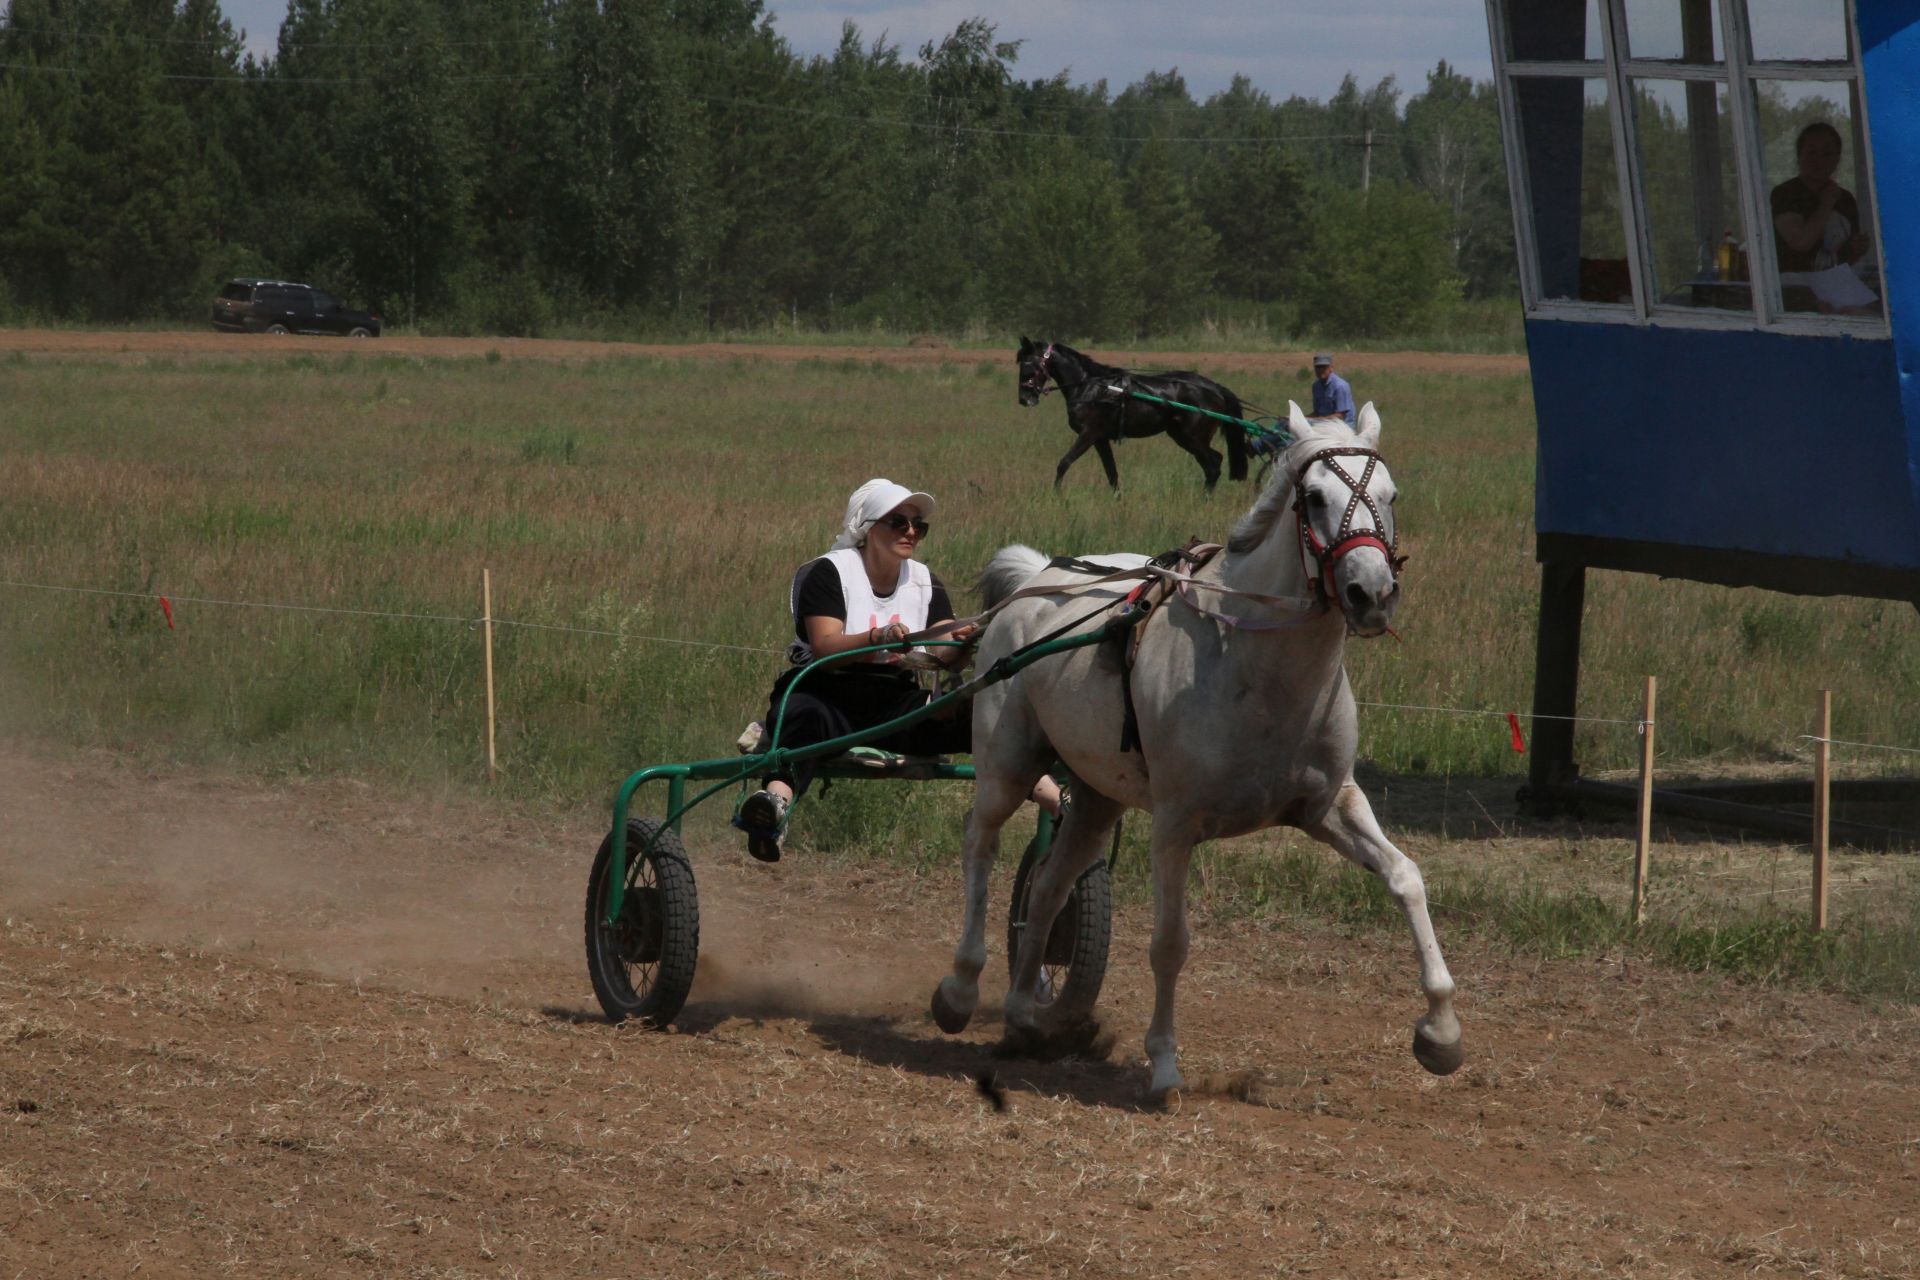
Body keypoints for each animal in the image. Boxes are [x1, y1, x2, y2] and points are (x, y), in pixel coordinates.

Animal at [929, 408, 1451, 1105]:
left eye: (1391, 497)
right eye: (1314, 498)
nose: (1371, 592)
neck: (1259, 670)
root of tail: (1038, 578)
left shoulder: (1329, 805)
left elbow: (1406, 877)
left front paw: (1441, 1032)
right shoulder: (1175, 827)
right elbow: (1170, 945)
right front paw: (1164, 1064)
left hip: (1096, 799)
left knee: (1047, 889)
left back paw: (1022, 1016)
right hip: (1006, 768)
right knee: (980, 848)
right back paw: (961, 989)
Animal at [1021, 337, 1244, 495]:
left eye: (1029, 365)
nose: (1024, 399)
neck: (1091, 387)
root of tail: (1215, 388)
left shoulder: (1088, 433)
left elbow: (1064, 463)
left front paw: (1056, 495)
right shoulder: (1100, 438)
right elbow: (1111, 472)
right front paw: (1117, 499)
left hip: (1192, 437)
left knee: (1212, 465)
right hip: (1182, 435)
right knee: (1214, 460)